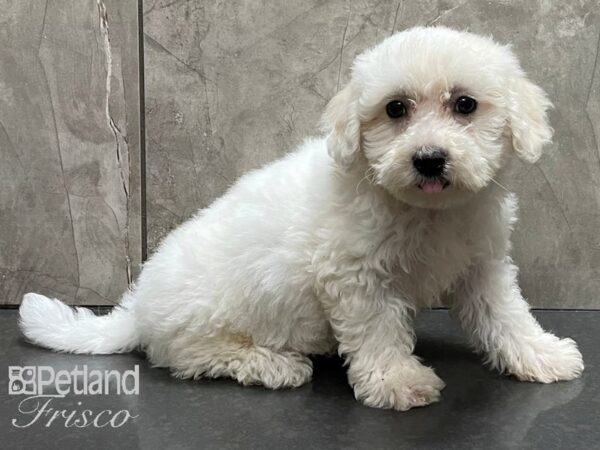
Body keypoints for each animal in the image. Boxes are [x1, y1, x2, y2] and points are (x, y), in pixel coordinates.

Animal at [18, 25, 580, 412]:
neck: (425, 210)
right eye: (396, 109)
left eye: (465, 104)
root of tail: (137, 308)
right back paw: (271, 364)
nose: (428, 159)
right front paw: (399, 381)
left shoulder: (482, 265)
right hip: (206, 317)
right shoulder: (355, 276)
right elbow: (378, 331)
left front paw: (542, 355)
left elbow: (505, 316)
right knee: (187, 356)